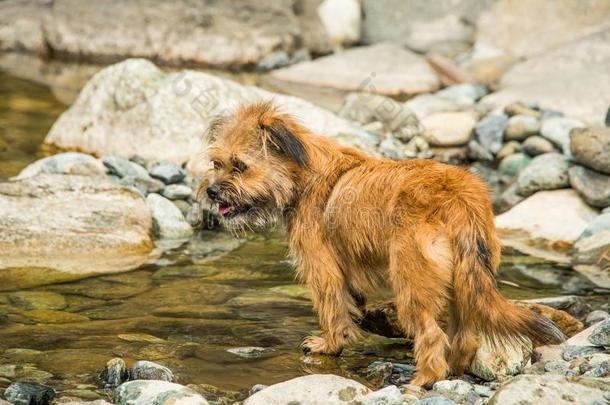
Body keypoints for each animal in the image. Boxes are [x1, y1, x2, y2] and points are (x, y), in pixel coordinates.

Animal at [197, 101, 564, 386]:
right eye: (216, 163)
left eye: (239, 166)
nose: (212, 191)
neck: (303, 173)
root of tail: (456, 195)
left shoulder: (322, 269)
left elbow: (332, 310)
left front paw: (328, 346)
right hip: (465, 280)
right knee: (464, 336)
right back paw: (453, 370)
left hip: (410, 283)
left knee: (431, 335)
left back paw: (422, 380)